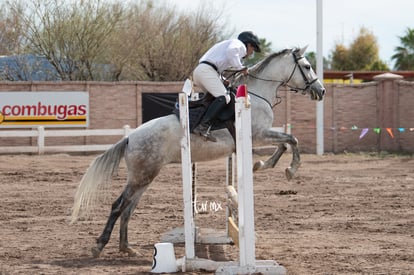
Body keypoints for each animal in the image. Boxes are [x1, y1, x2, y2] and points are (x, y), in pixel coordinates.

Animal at [71, 45, 326, 258]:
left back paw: (127, 248)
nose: (321, 91)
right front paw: (288, 169)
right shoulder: (259, 135)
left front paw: (264, 165)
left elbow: (285, 143)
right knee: (118, 205)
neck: (257, 94)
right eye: (307, 66)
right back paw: (99, 246)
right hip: (142, 176)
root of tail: (129, 138)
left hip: (145, 177)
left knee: (128, 209)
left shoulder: (259, 137)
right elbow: (290, 140)